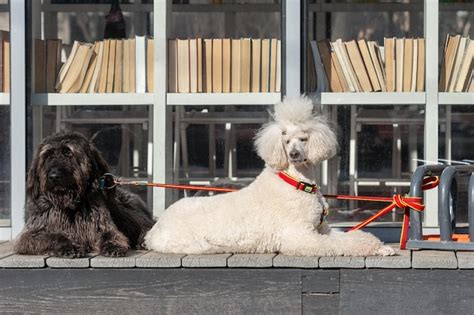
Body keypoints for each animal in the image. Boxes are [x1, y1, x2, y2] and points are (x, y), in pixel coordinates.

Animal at [13, 132, 155, 258]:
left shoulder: (100, 226)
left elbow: (110, 234)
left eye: (68, 153)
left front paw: (113, 246)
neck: (69, 205)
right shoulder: (30, 235)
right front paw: (69, 247)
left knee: (147, 224)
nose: (53, 176)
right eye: (47, 156)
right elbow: (53, 236)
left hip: (121, 211)